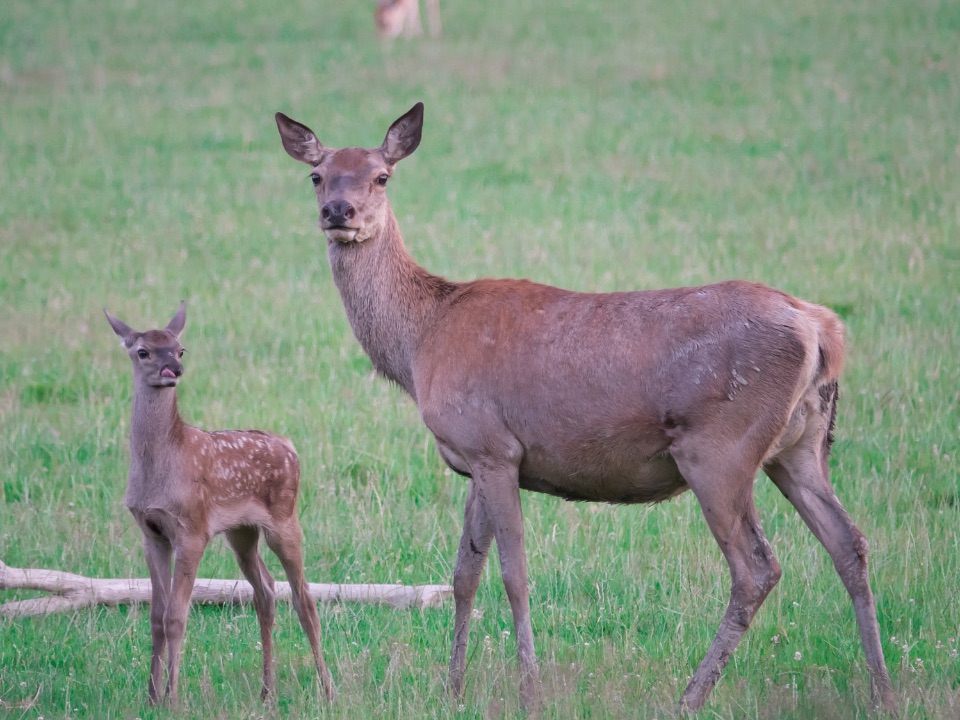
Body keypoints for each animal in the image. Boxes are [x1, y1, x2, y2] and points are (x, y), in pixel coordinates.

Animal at [105, 302, 336, 704]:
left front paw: (173, 699)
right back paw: (266, 691)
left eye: (180, 349)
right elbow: (156, 616)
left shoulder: (192, 529)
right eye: (143, 351)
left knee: (304, 598)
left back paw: (327, 689)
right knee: (266, 592)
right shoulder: (151, 533)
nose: (173, 371)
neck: (160, 466)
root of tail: (290, 446)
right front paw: (150, 697)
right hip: (242, 532)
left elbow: (176, 616)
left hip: (285, 519)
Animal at [274, 102, 896, 716]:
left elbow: (514, 574)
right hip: (800, 446)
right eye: (317, 175)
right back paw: (882, 692)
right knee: (849, 543)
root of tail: (822, 328)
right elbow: (464, 573)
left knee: (756, 567)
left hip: (720, 448)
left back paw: (689, 697)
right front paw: (451, 689)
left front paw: (529, 690)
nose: (338, 211)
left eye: (382, 176)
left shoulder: (492, 447)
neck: (420, 341)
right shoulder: (474, 455)